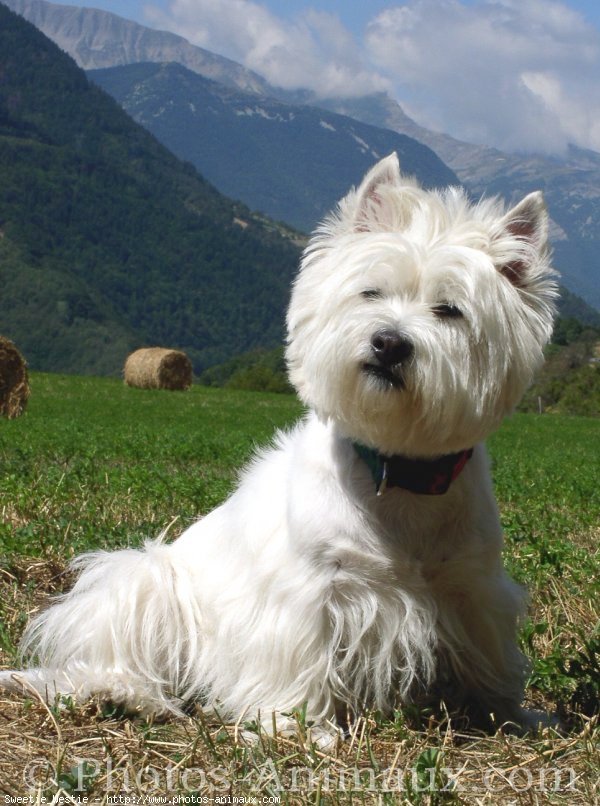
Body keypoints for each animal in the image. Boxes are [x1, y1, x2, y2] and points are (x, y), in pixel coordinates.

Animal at [2, 156, 556, 744]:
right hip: (145, 582)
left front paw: (516, 715)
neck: (394, 473)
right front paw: (299, 727)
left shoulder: (473, 588)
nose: (389, 343)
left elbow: (491, 660)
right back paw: (129, 693)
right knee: (107, 655)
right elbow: (301, 660)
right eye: (371, 293)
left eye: (450, 310)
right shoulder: (308, 592)